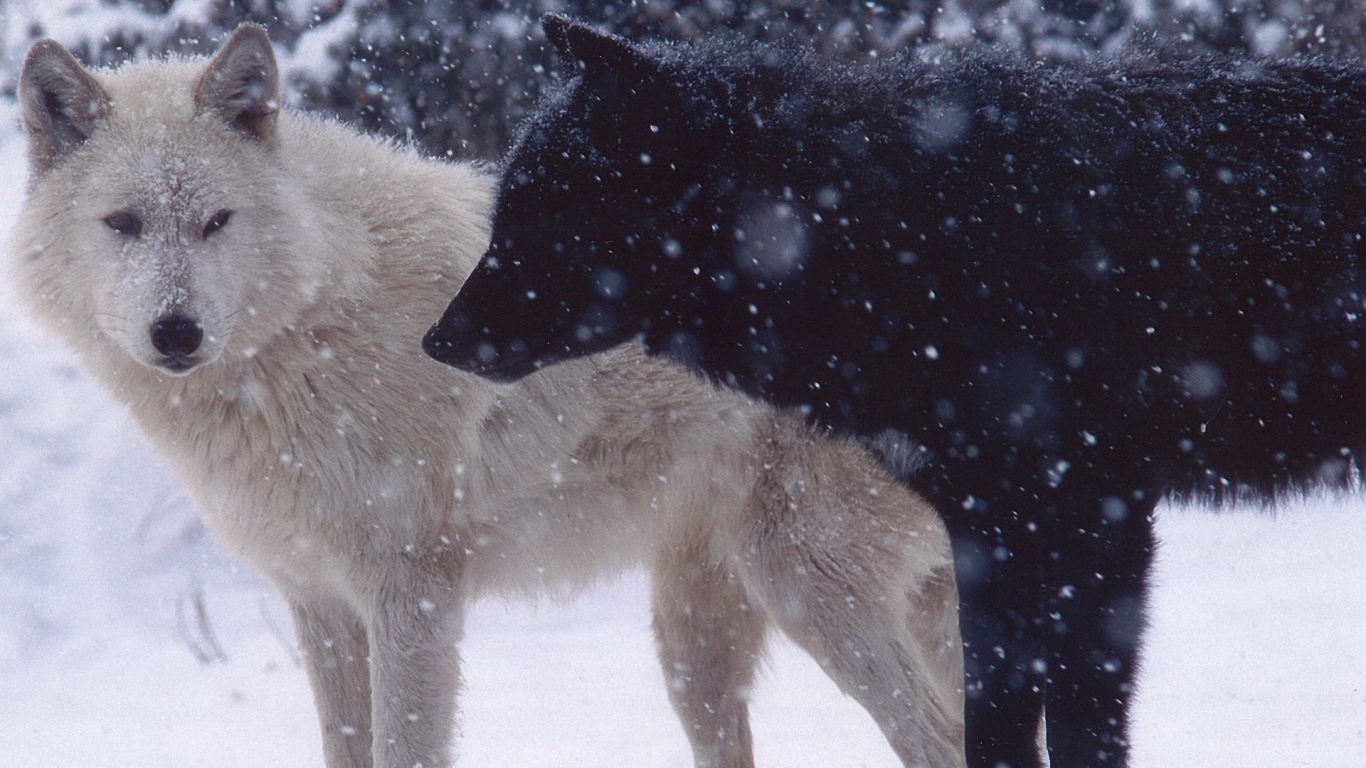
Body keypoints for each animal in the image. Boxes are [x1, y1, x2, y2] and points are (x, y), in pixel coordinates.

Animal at [11, 24, 969, 768]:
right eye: (123, 224)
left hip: (804, 587)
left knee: (936, 743)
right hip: (700, 645)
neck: (309, 326)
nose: (176, 333)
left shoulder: (413, 596)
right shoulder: (319, 603)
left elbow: (403, 748)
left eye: (215, 223)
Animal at [425, 16, 1366, 768]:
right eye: (504, 215)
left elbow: (1079, 730)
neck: (901, 231)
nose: (434, 342)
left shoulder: (1093, 520)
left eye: (541, 216)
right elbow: (994, 727)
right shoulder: (991, 532)